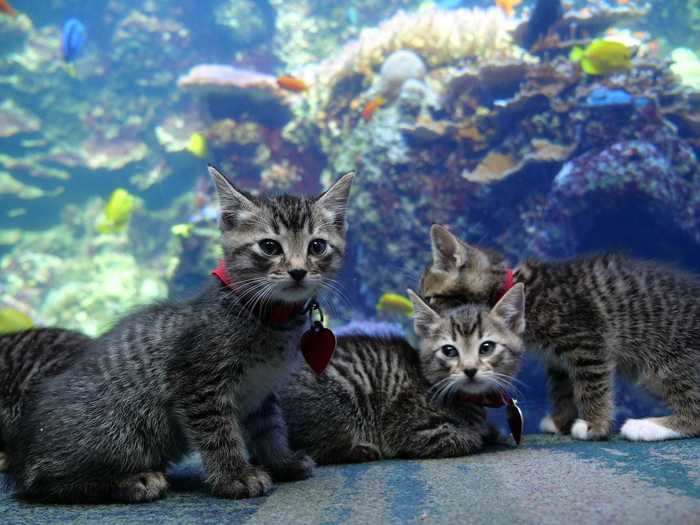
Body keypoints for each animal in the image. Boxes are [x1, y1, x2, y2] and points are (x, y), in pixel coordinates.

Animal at [2, 169, 356, 504]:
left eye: (317, 246)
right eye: (269, 246)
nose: (298, 271)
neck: (270, 319)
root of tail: (22, 454)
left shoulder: (261, 389)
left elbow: (270, 427)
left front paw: (282, 461)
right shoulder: (198, 384)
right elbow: (219, 434)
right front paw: (235, 476)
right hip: (119, 430)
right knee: (47, 481)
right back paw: (132, 481)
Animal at [278, 282, 524, 462]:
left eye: (486, 347)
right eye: (449, 351)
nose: (470, 370)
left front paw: (491, 431)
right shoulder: (409, 429)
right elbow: (465, 437)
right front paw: (479, 433)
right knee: (312, 448)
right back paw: (360, 450)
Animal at [418, 223, 700, 440]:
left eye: (430, 298)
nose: (421, 312)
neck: (521, 289)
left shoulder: (587, 340)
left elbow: (591, 385)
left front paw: (594, 425)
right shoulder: (557, 359)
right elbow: (562, 387)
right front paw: (560, 420)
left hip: (668, 362)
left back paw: (649, 426)